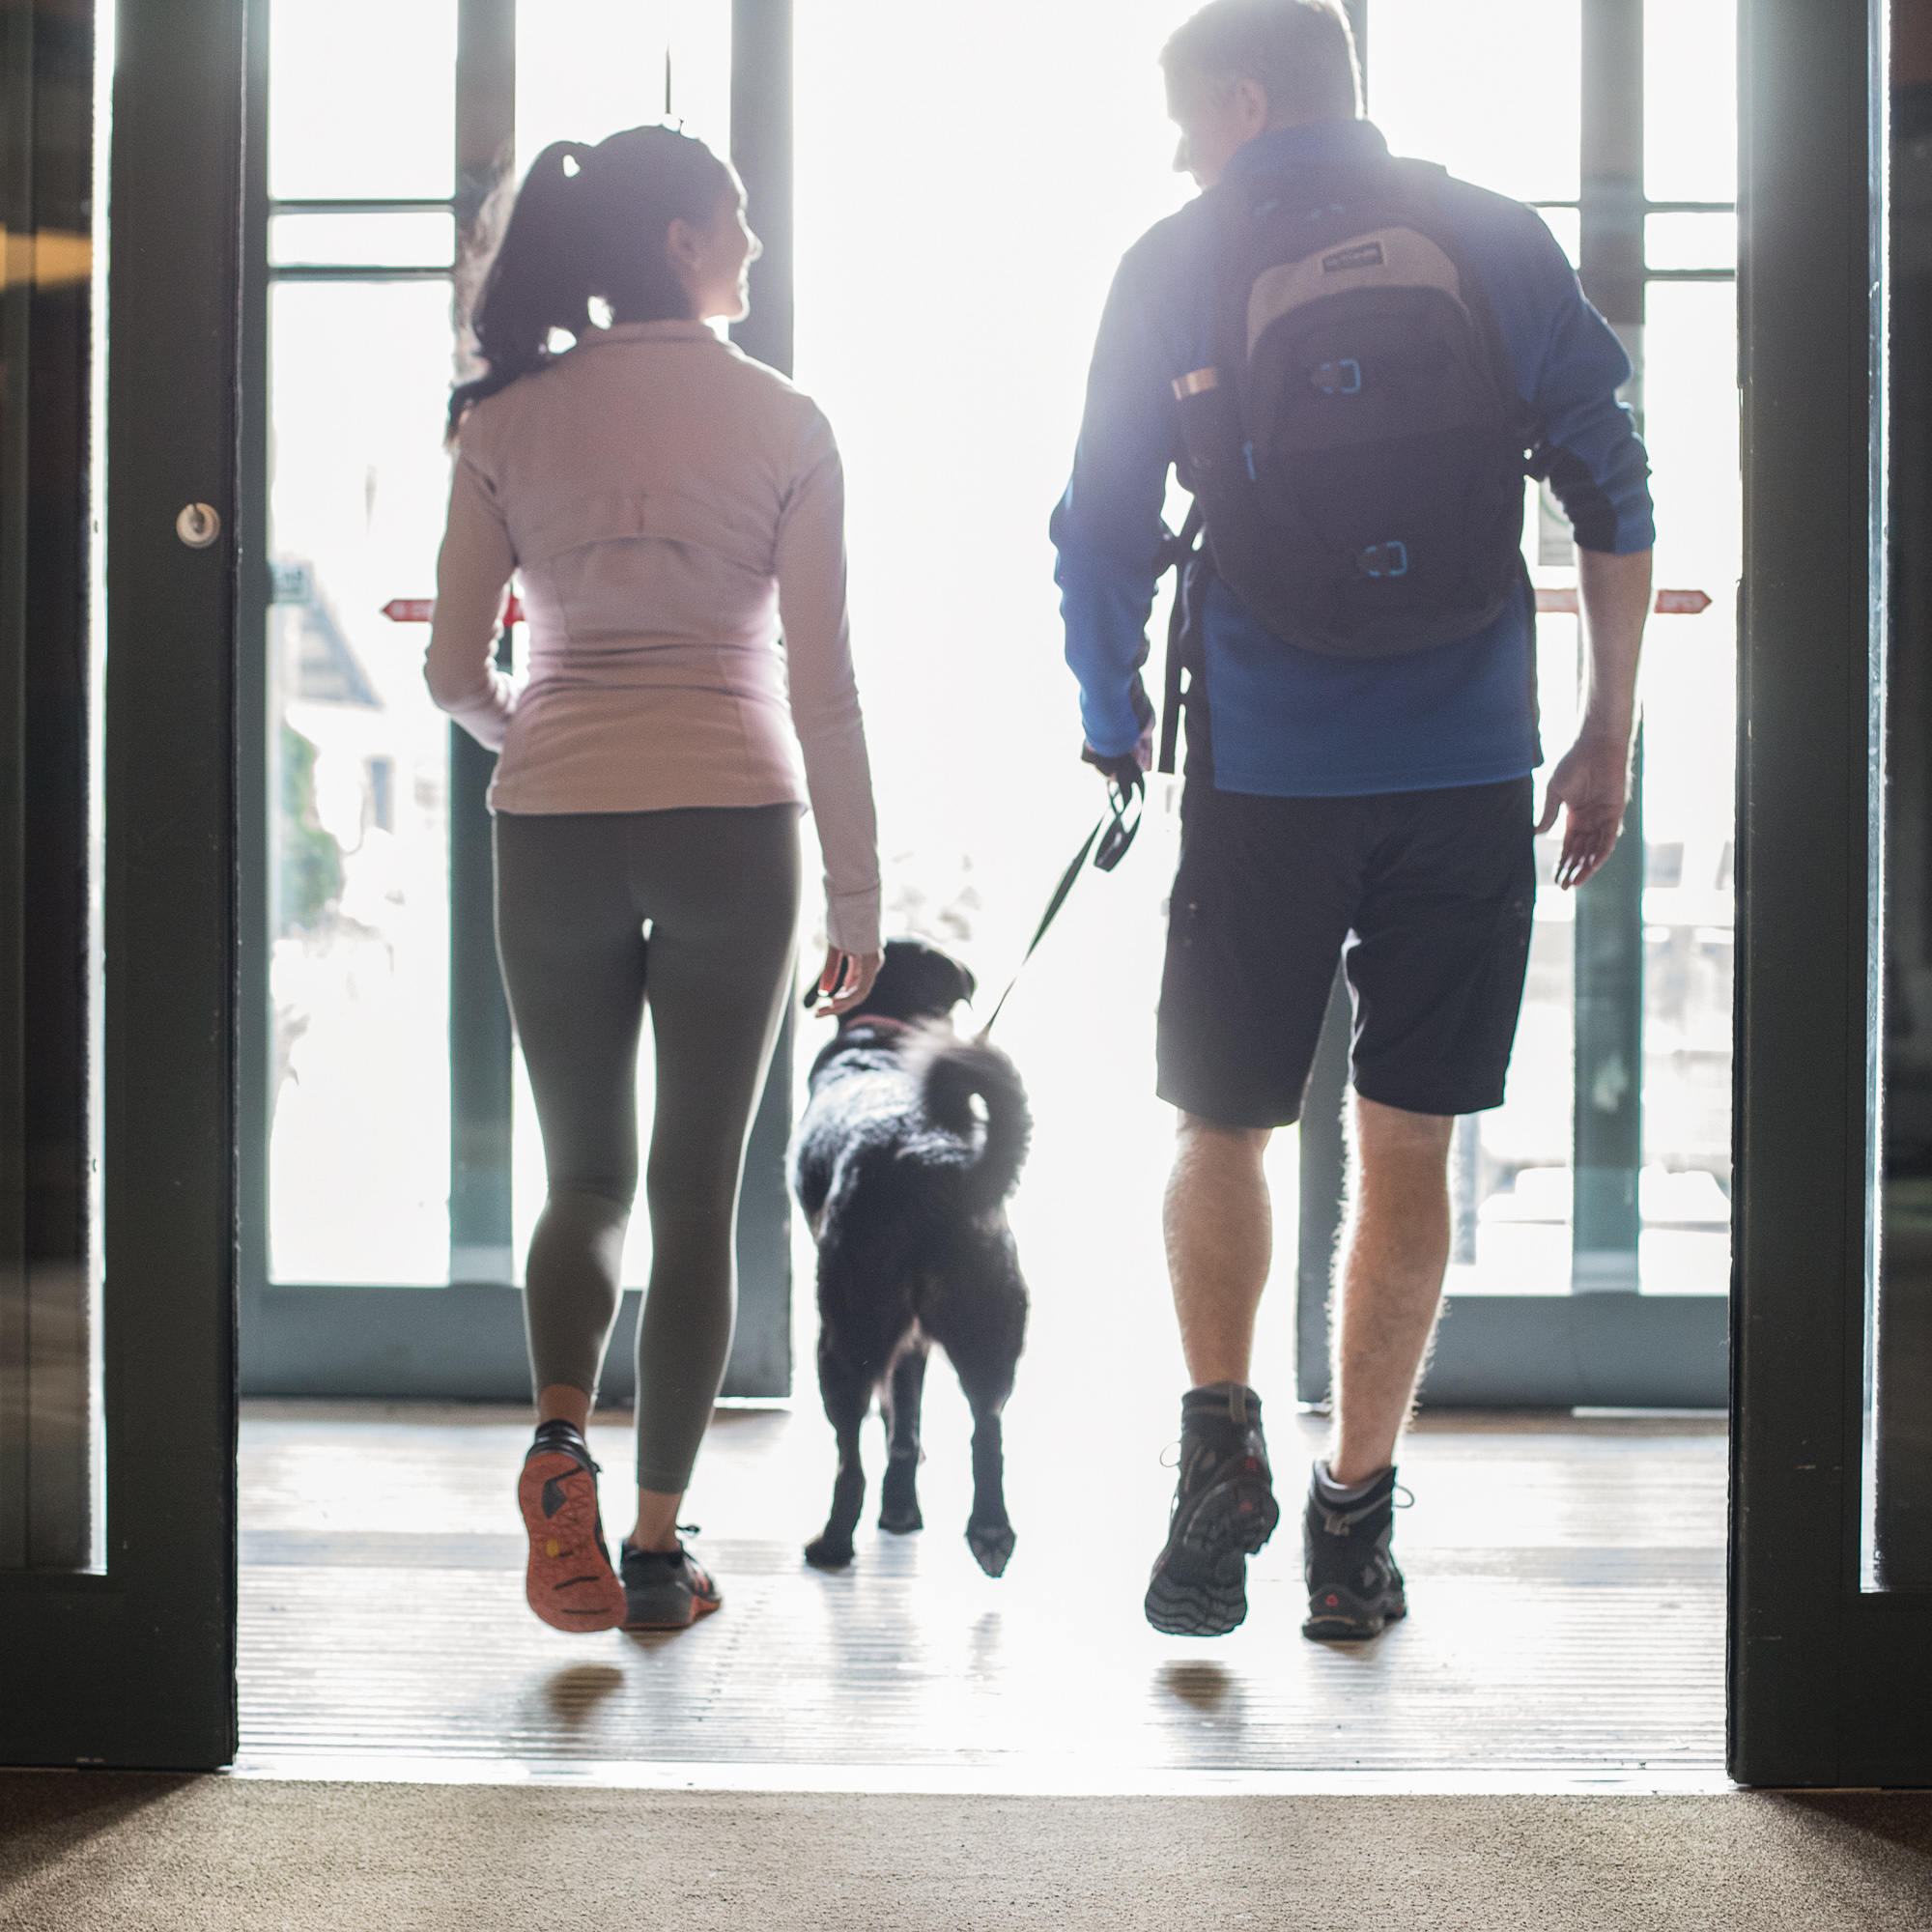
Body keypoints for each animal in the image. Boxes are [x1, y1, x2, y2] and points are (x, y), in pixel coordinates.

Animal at [788, 943, 1036, 1577]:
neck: (887, 1033)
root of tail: (929, 1157)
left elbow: (891, 1414)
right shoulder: (917, 1338)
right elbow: (906, 1414)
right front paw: (904, 1495)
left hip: (843, 1333)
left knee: (848, 1457)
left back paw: (833, 1541)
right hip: (987, 1322)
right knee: (988, 1428)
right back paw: (987, 1528)